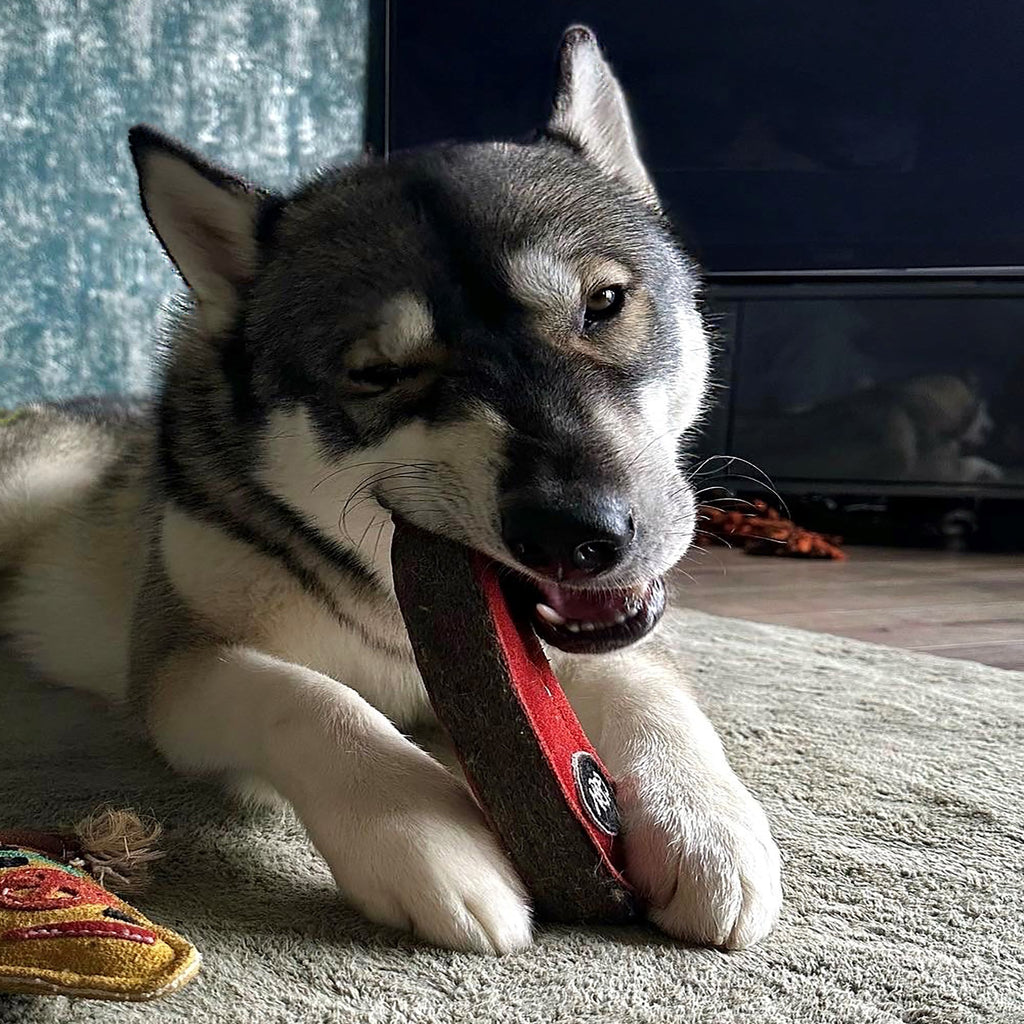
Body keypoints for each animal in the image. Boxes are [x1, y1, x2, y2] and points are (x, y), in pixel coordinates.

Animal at [0, 27, 781, 954]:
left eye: (603, 303)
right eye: (379, 373)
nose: (573, 532)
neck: (388, 593)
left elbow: (649, 687)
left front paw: (703, 816)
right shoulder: (176, 663)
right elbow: (310, 698)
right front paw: (426, 837)